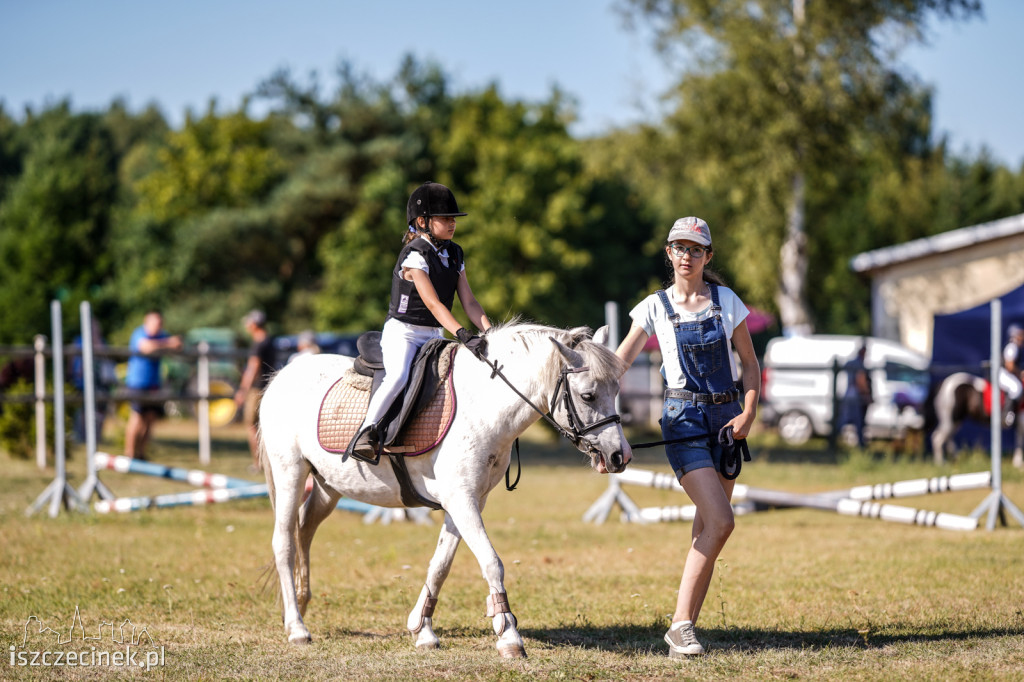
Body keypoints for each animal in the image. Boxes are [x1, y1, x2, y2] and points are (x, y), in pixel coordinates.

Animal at [260, 321, 626, 655]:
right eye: (588, 395)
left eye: (617, 390)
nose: (619, 455)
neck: (484, 406)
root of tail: (283, 374)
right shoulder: (461, 500)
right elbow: (491, 562)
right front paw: (508, 634)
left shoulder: (466, 501)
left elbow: (440, 565)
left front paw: (422, 629)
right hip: (290, 472)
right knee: (284, 542)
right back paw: (297, 627)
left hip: (327, 486)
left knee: (304, 530)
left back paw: (301, 603)